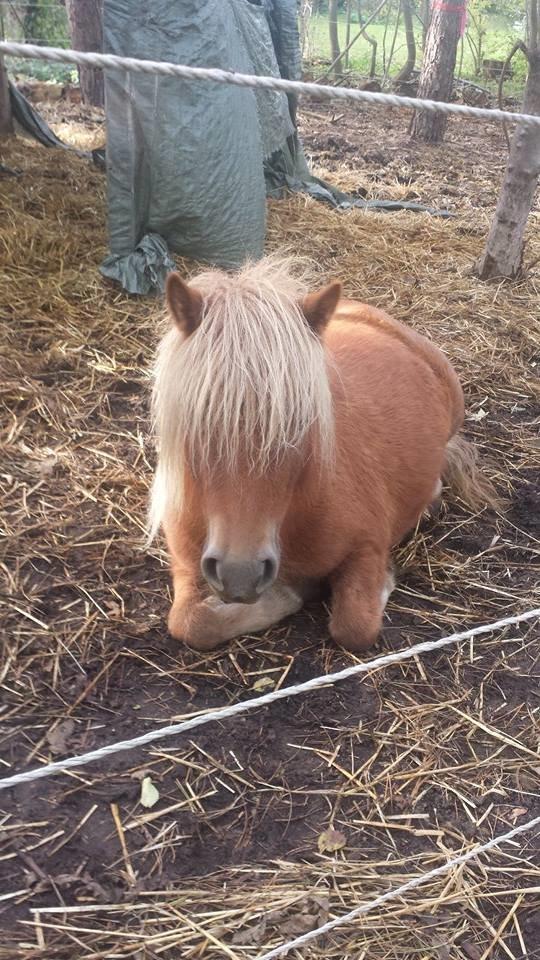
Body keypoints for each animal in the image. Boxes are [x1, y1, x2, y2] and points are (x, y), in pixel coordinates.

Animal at [150, 256, 492, 652]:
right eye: (196, 419)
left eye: (300, 424)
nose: (241, 574)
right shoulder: (185, 558)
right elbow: (190, 622)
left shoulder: (368, 546)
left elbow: (354, 627)